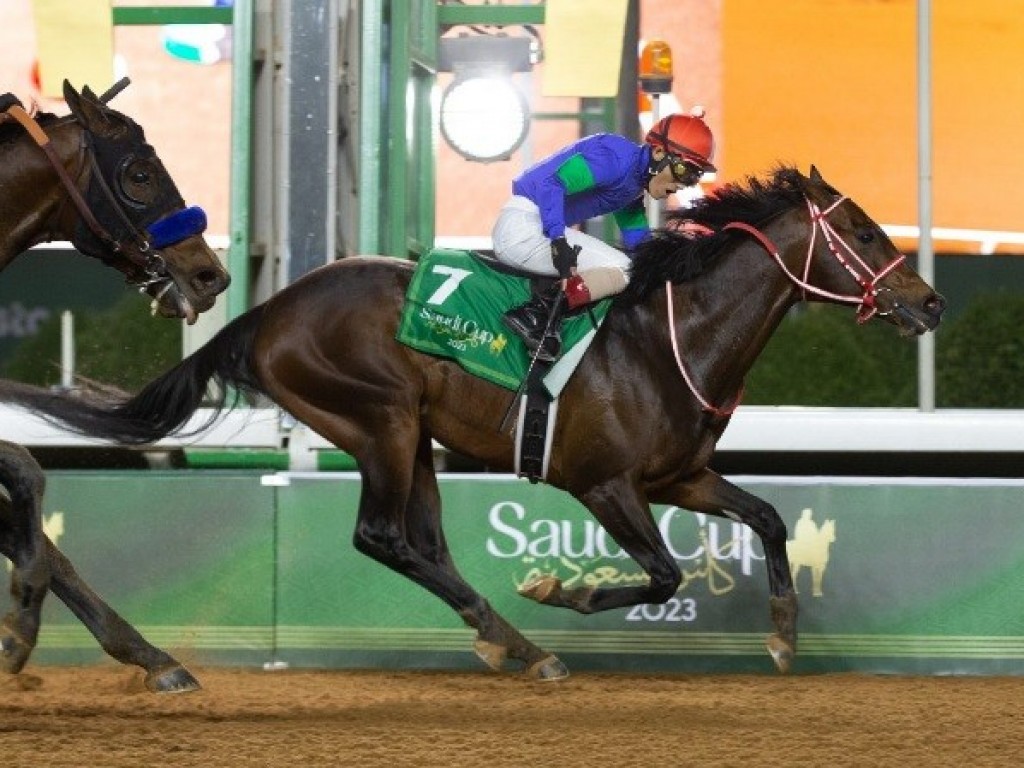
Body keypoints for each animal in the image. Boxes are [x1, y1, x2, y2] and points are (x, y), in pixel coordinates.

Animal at [6, 166, 942, 679]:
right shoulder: (604, 484)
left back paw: (505, 643)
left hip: (412, 434)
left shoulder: (678, 475)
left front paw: (783, 638)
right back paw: (519, 640)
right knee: (383, 537)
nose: (929, 301)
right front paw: (559, 588)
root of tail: (271, 310)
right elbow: (666, 575)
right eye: (861, 229)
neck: (670, 339)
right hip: (379, 417)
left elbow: (770, 518)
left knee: (422, 543)